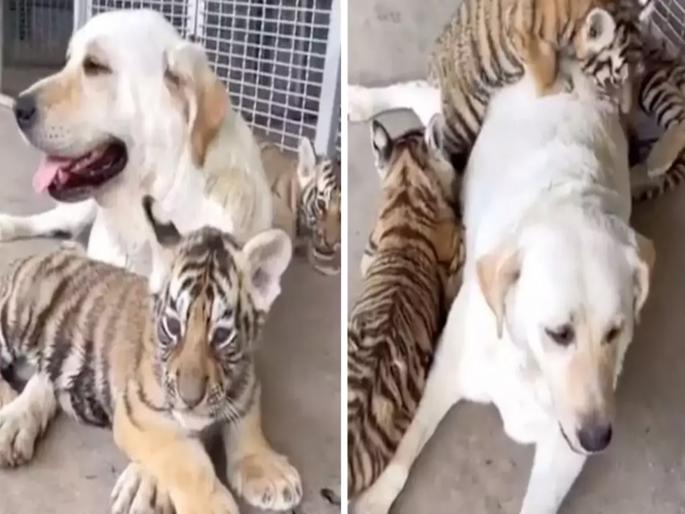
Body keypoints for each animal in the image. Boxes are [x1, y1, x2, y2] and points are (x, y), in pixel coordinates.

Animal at [0, 197, 301, 514]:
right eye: (173, 326)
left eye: (221, 335)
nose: (190, 398)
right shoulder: (139, 414)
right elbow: (186, 461)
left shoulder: (248, 388)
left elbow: (248, 428)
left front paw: (270, 472)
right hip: (14, 317)